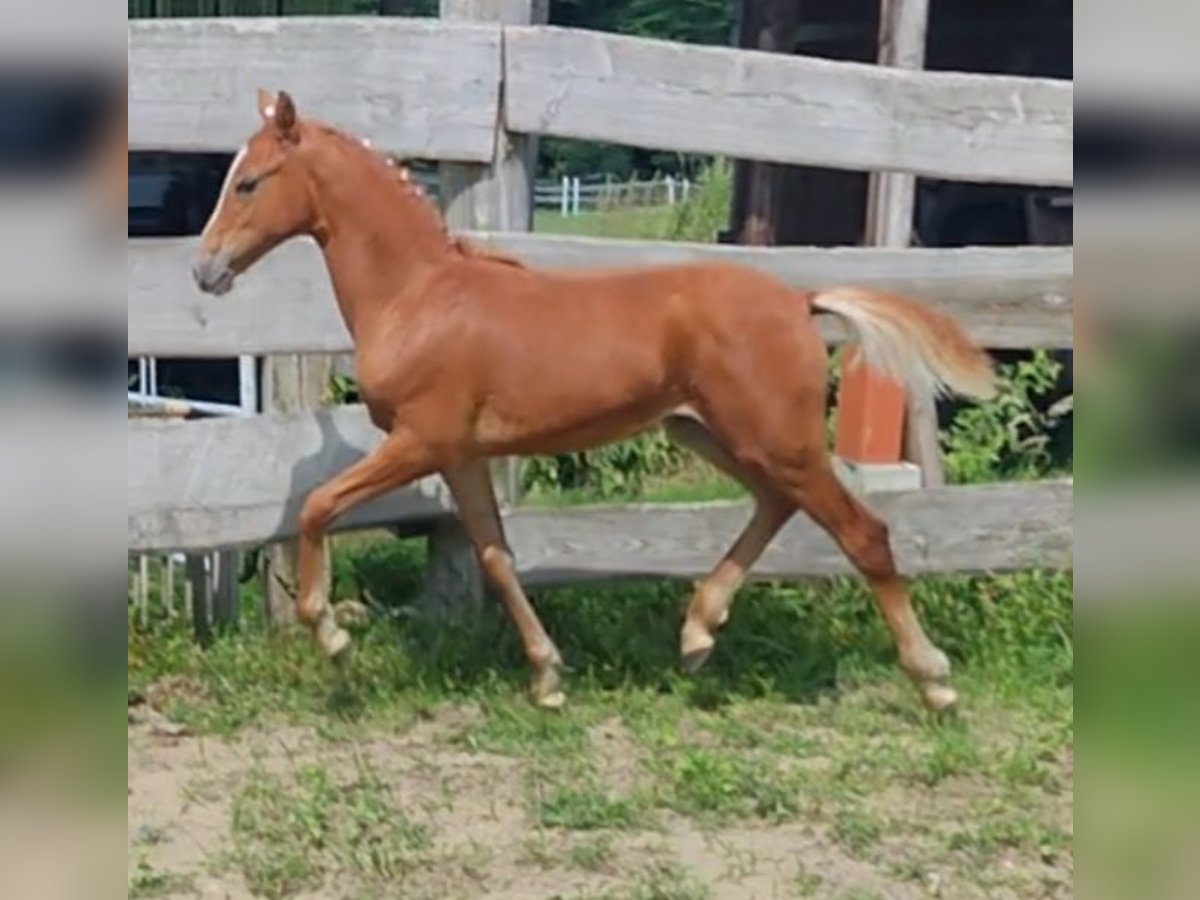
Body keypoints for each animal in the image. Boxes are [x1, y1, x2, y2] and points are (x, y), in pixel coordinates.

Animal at [192, 90, 993, 710]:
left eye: (250, 182)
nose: (204, 270)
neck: (418, 298)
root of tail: (800, 301)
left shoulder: (421, 440)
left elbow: (319, 504)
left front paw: (331, 635)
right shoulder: (461, 454)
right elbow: (495, 555)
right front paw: (548, 677)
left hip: (775, 438)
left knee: (864, 533)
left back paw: (933, 681)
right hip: (710, 433)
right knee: (776, 504)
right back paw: (697, 634)